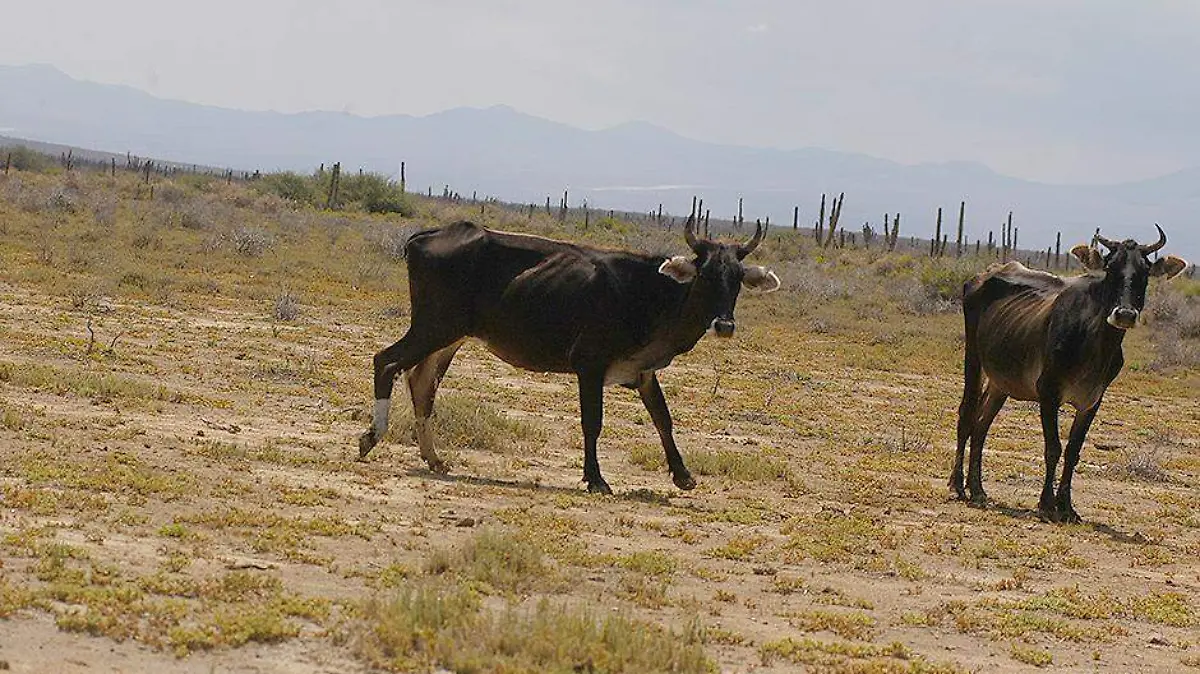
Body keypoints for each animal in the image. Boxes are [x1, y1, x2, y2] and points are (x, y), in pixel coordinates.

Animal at [358, 217, 780, 494]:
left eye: (737, 279)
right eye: (705, 274)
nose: (724, 325)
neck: (651, 292)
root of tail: (426, 235)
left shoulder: (643, 372)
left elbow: (664, 420)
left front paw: (682, 474)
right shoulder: (589, 366)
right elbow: (592, 423)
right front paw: (596, 478)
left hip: (450, 338)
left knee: (421, 384)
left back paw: (434, 458)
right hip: (434, 327)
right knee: (386, 362)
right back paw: (372, 438)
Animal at [951, 225, 1189, 522]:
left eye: (1145, 270)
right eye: (1110, 267)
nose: (1124, 314)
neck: (1095, 342)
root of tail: (983, 275)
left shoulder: (1092, 400)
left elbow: (1073, 451)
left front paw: (1067, 506)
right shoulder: (1048, 391)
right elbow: (1053, 448)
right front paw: (1046, 504)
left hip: (1000, 381)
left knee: (982, 424)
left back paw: (978, 489)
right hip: (973, 358)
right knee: (967, 413)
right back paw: (958, 485)